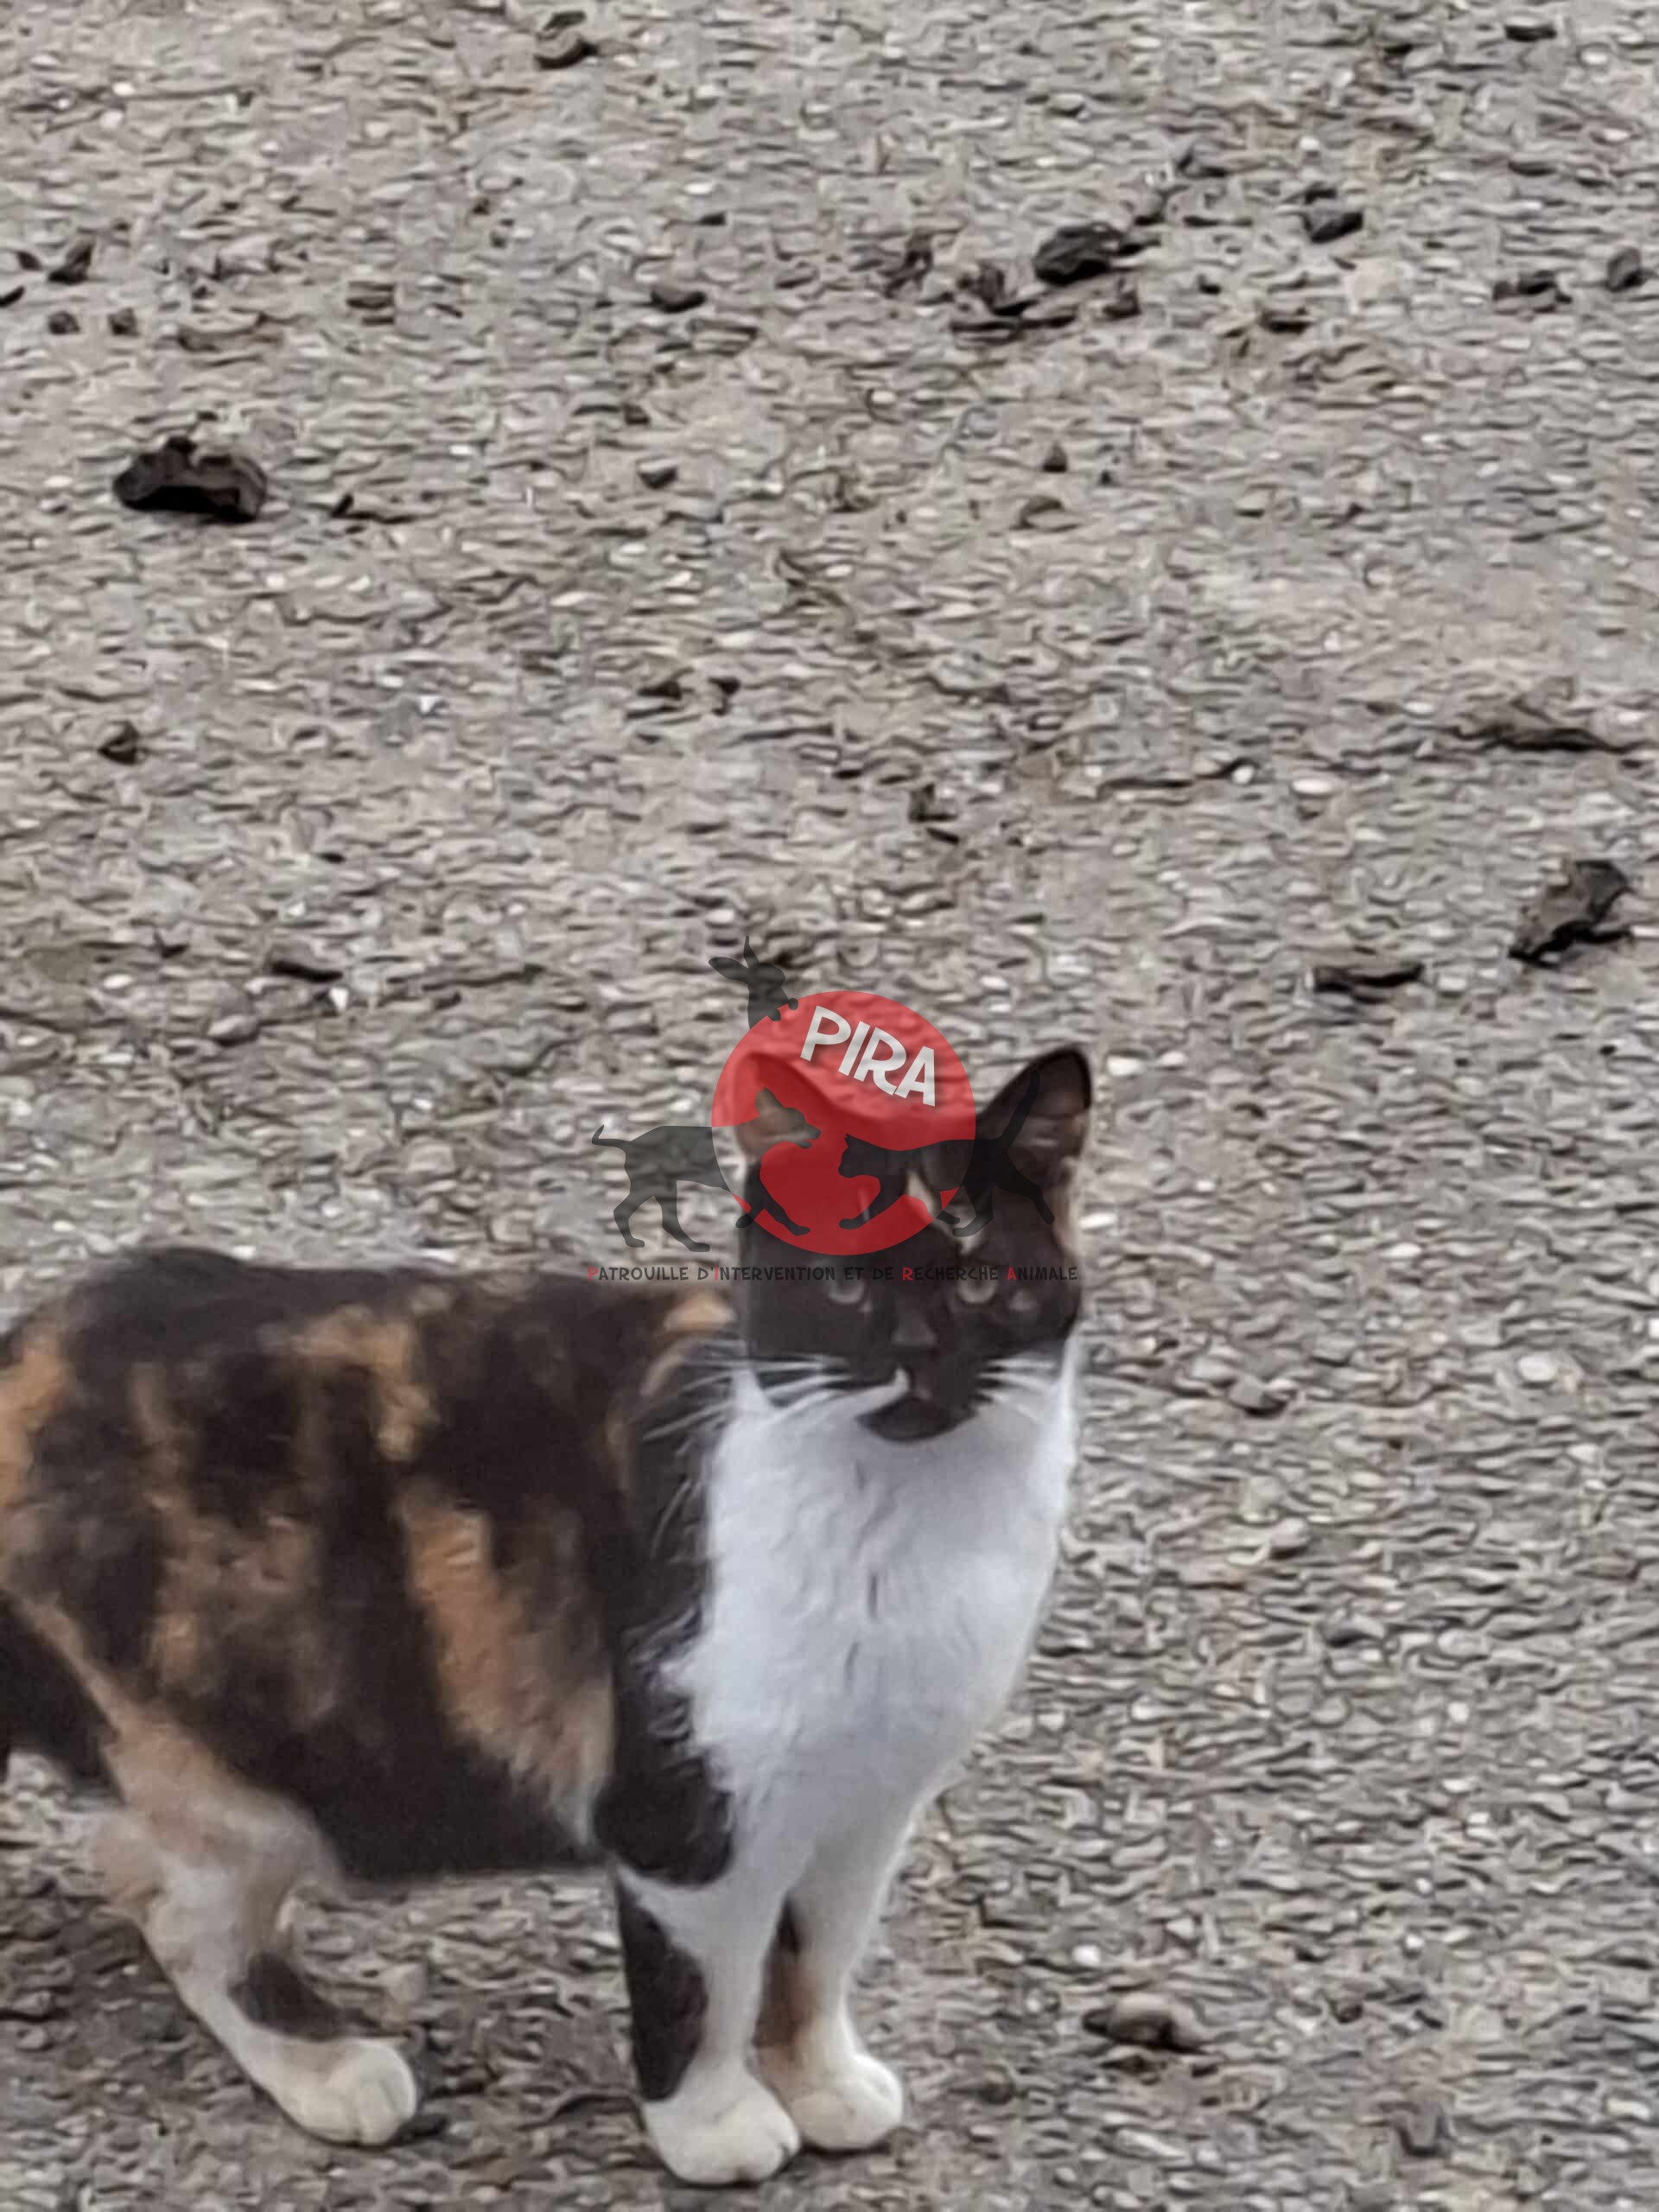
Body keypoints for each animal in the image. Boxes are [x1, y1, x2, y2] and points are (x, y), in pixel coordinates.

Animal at [591, 1086, 819, 1251]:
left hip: (661, 1188)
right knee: (639, 1215)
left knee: (653, 1219)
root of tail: (629, 1144)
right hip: (655, 1185)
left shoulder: (756, 1189)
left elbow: (770, 1211)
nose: (818, 1131)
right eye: (800, 1121)